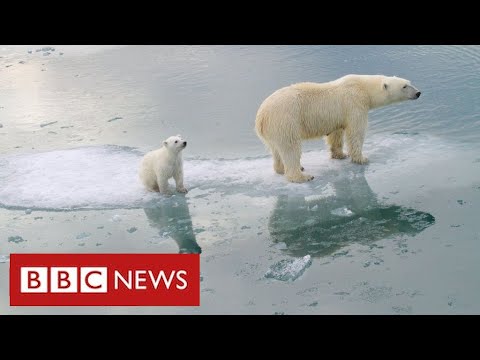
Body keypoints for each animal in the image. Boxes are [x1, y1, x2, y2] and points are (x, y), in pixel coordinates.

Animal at [255, 75, 420, 183]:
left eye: (409, 82)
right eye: (404, 86)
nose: (418, 93)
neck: (363, 88)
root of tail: (261, 116)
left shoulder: (338, 116)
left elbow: (336, 134)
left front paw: (340, 155)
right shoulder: (355, 104)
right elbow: (356, 132)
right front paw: (362, 158)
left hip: (273, 130)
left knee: (276, 149)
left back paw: (281, 169)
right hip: (286, 120)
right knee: (290, 147)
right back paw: (302, 175)